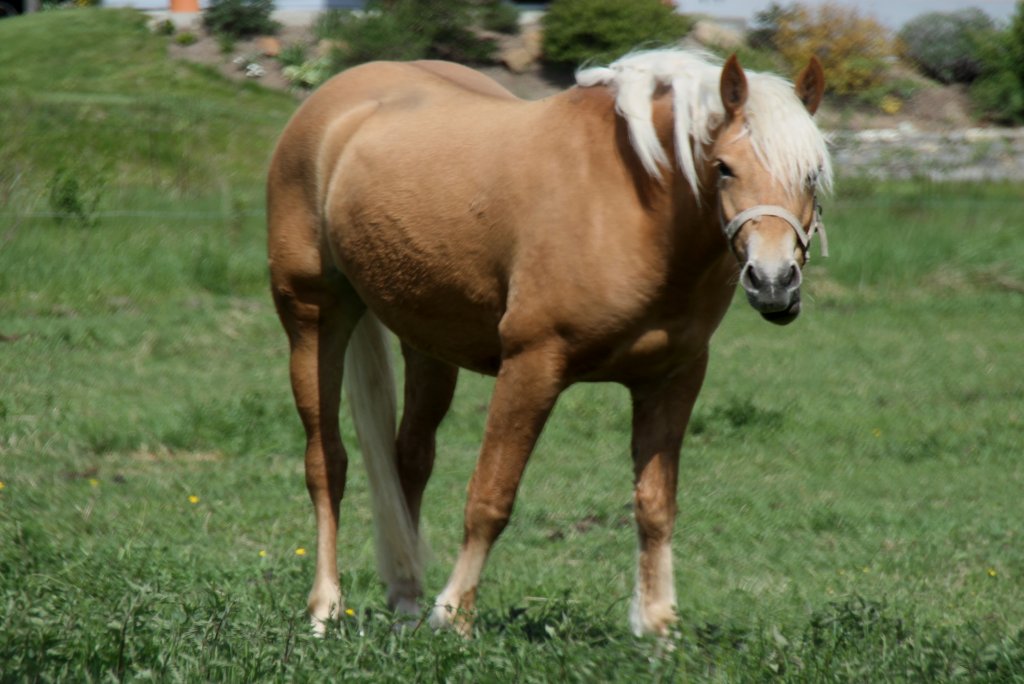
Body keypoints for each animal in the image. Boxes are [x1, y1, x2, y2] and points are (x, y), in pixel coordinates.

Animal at [266, 46, 831, 634]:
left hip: (427, 341)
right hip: (313, 319)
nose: (773, 282)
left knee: (409, 462)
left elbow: (655, 505)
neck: (630, 205)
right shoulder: (532, 365)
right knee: (326, 463)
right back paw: (325, 609)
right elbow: (490, 497)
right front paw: (454, 617)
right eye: (723, 167)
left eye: (813, 173)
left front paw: (656, 626)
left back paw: (405, 604)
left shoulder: (671, 378)